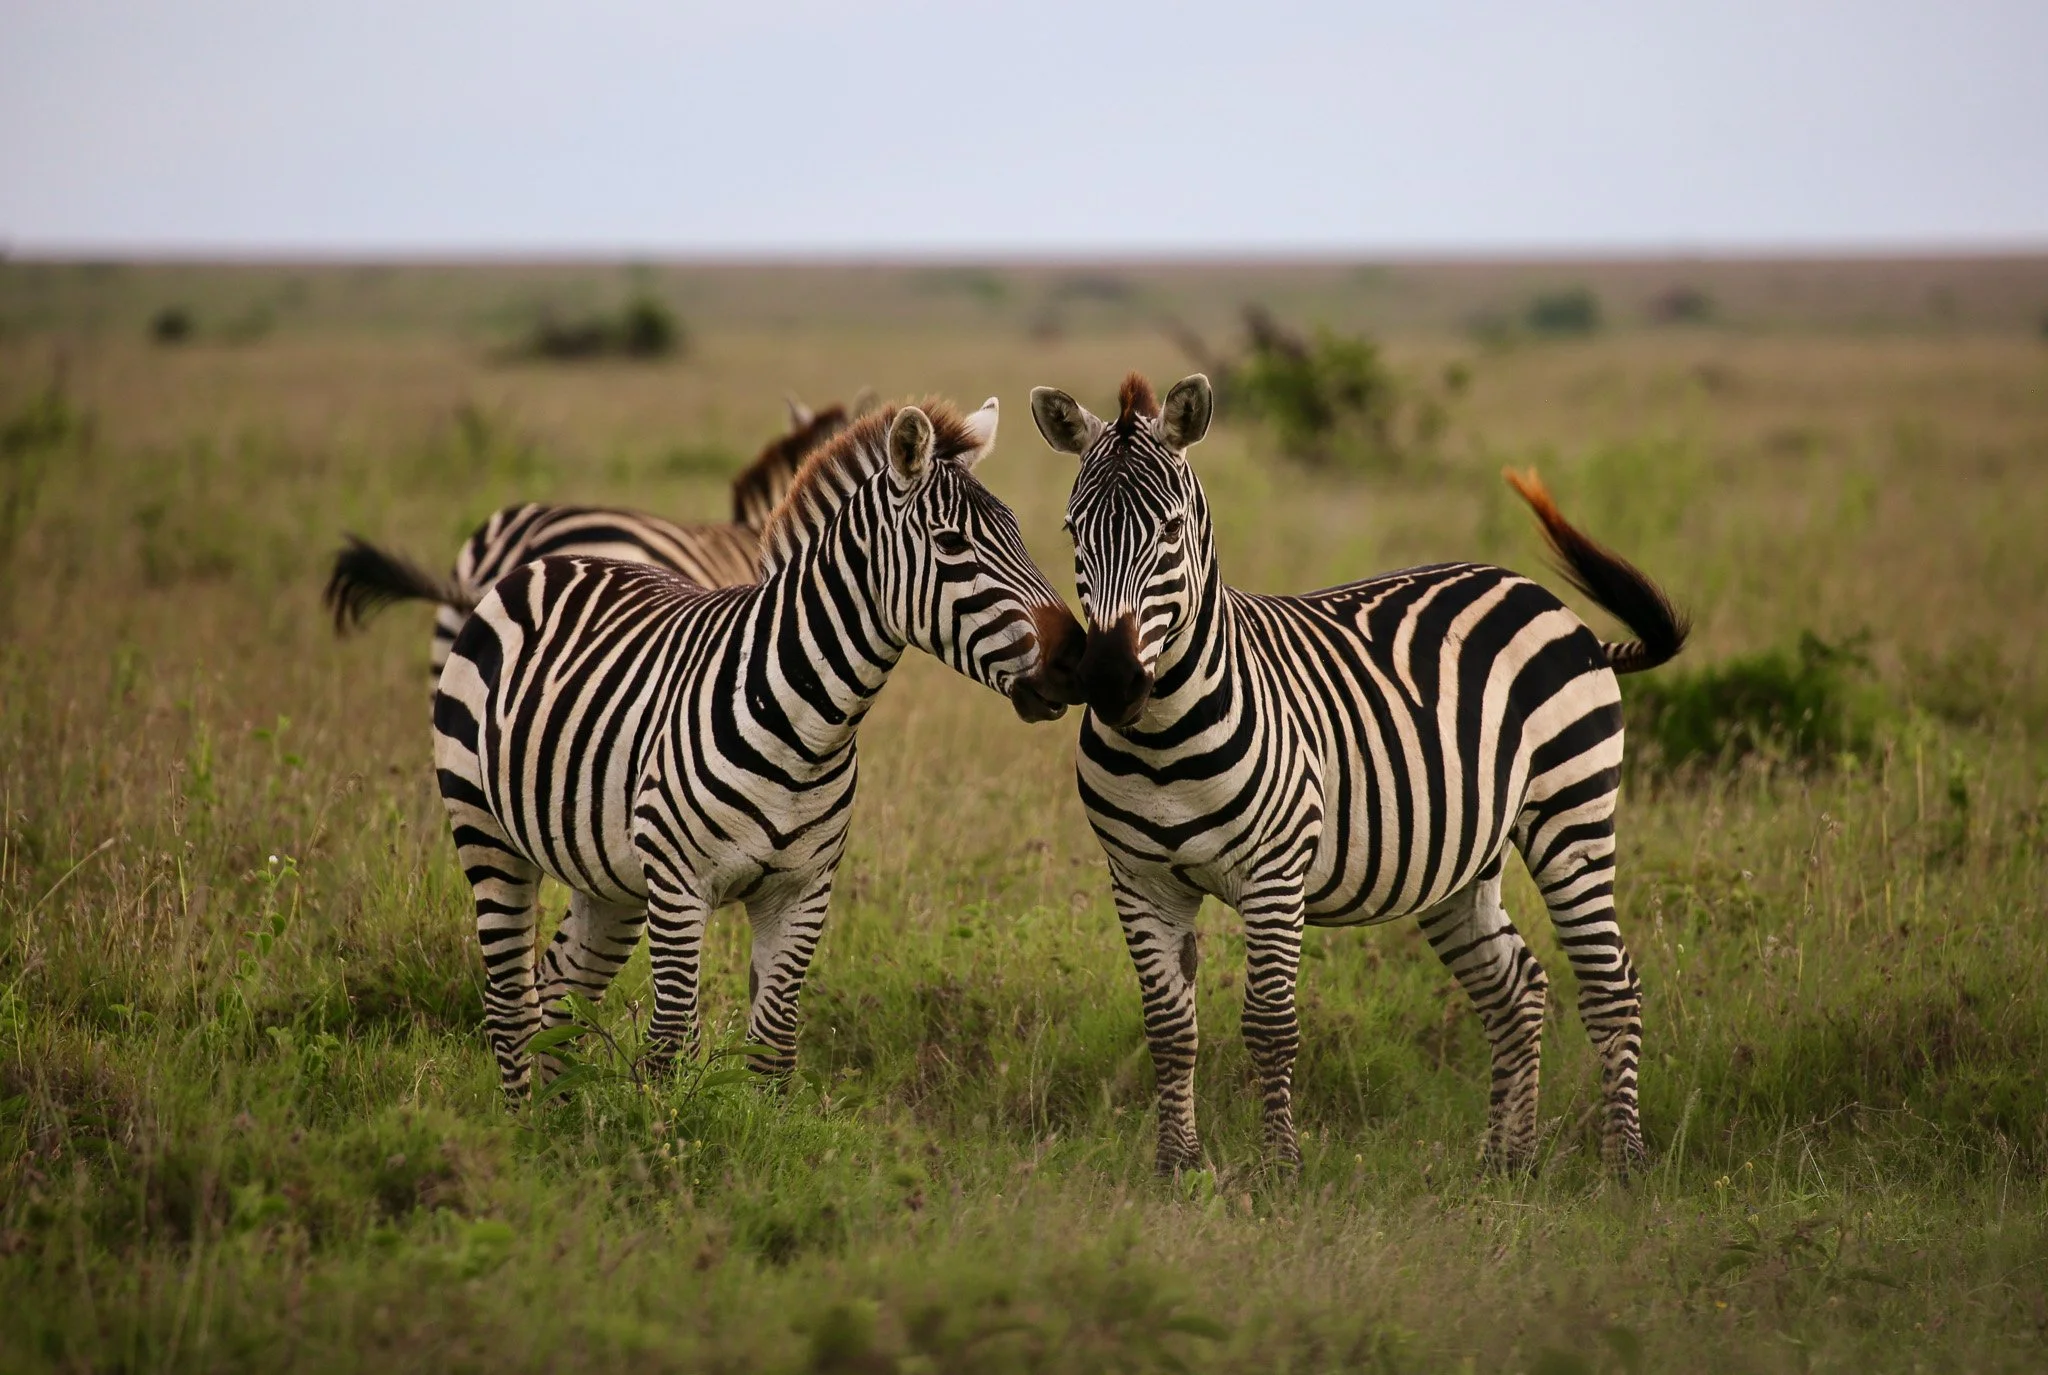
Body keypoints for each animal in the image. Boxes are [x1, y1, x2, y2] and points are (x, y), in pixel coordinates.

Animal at [434, 397, 1086, 1098]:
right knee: (510, 1000)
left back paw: (557, 1114)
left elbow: (773, 1048)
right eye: (952, 544)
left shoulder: (802, 892)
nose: (1080, 661)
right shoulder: (680, 884)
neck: (810, 727)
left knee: (560, 988)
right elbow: (672, 1043)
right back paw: (522, 1115)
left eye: (1022, 534)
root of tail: (536, 564)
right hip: (486, 830)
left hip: (609, 874)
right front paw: (664, 1125)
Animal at [1030, 372, 1689, 1176]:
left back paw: (1623, 1161)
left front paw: (1279, 1168)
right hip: (1462, 857)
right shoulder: (1140, 882)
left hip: (1573, 813)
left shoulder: (1275, 873)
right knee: (1516, 985)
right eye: (1073, 533)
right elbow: (1168, 1029)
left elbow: (1269, 1024)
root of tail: (1550, 603)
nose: (1110, 681)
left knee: (1610, 986)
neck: (1162, 745)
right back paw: (1507, 1159)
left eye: (1170, 532)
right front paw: (1177, 1166)